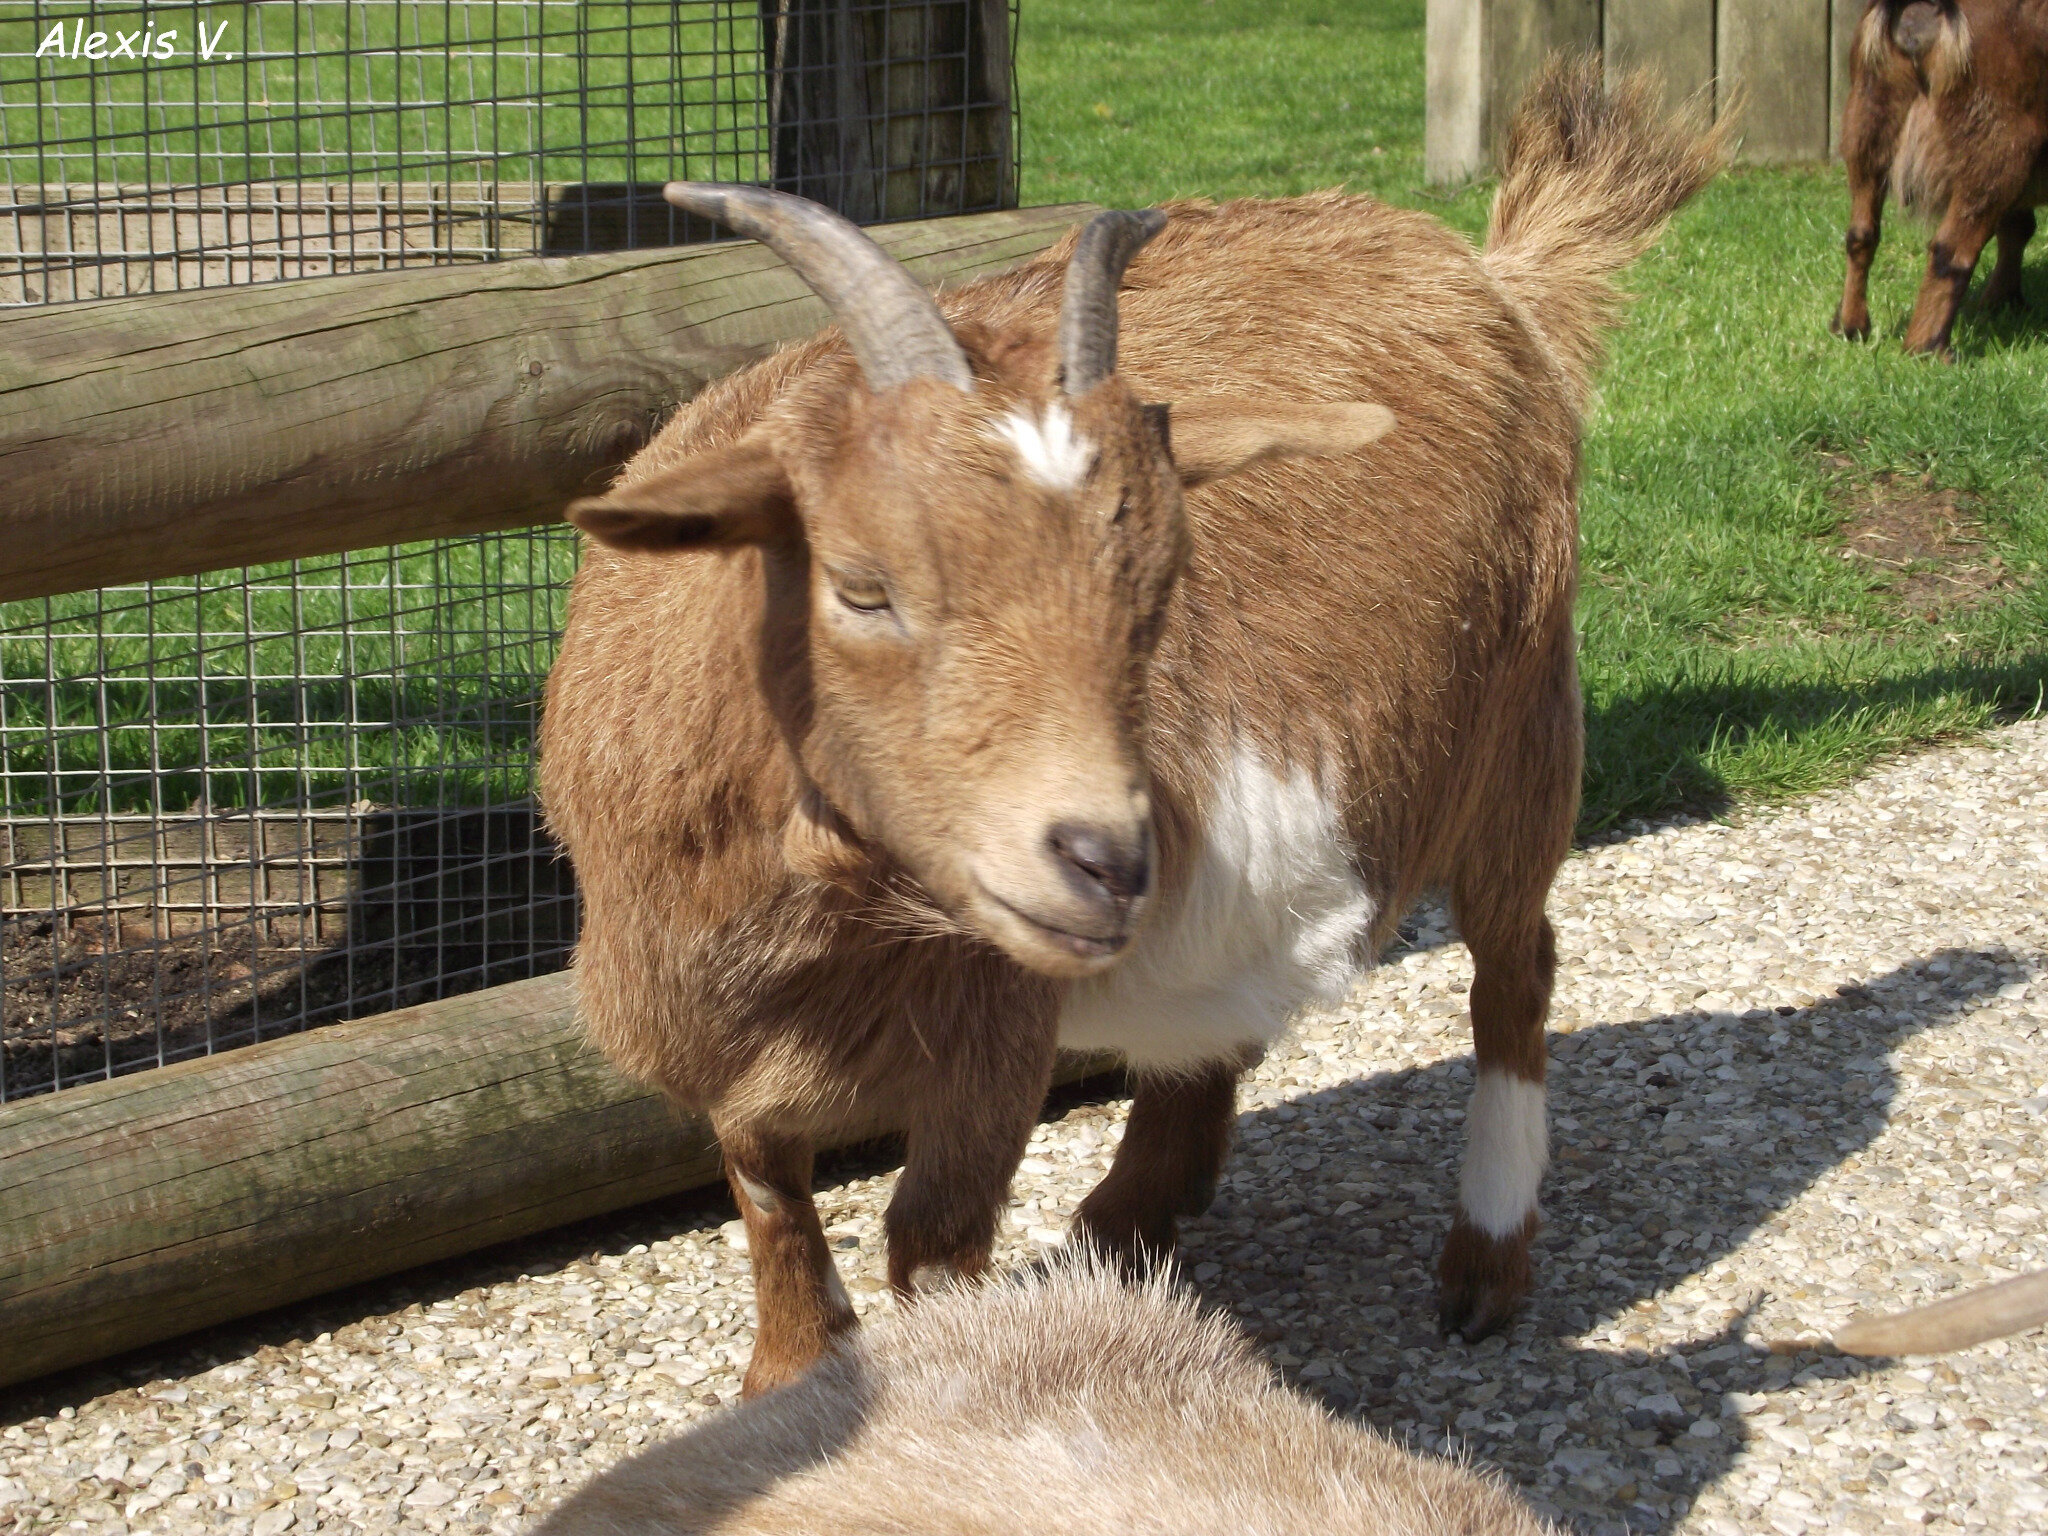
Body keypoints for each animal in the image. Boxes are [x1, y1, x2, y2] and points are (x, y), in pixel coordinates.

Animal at [536, 60, 1720, 1400]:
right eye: (861, 586)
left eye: (1156, 590)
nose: (1106, 859)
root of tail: (1490, 270)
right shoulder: (715, 1027)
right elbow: (767, 1190)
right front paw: (788, 1378)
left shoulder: (988, 1034)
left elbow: (928, 1238)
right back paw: (1130, 1219)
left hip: (1524, 725)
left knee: (1515, 970)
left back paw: (1481, 1265)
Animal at [1843, 0, 2048, 358]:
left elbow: (2017, 228)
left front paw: (2002, 304)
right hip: (1998, 144)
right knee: (1950, 249)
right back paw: (1928, 348)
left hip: (1868, 116)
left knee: (1861, 231)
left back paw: (1851, 327)